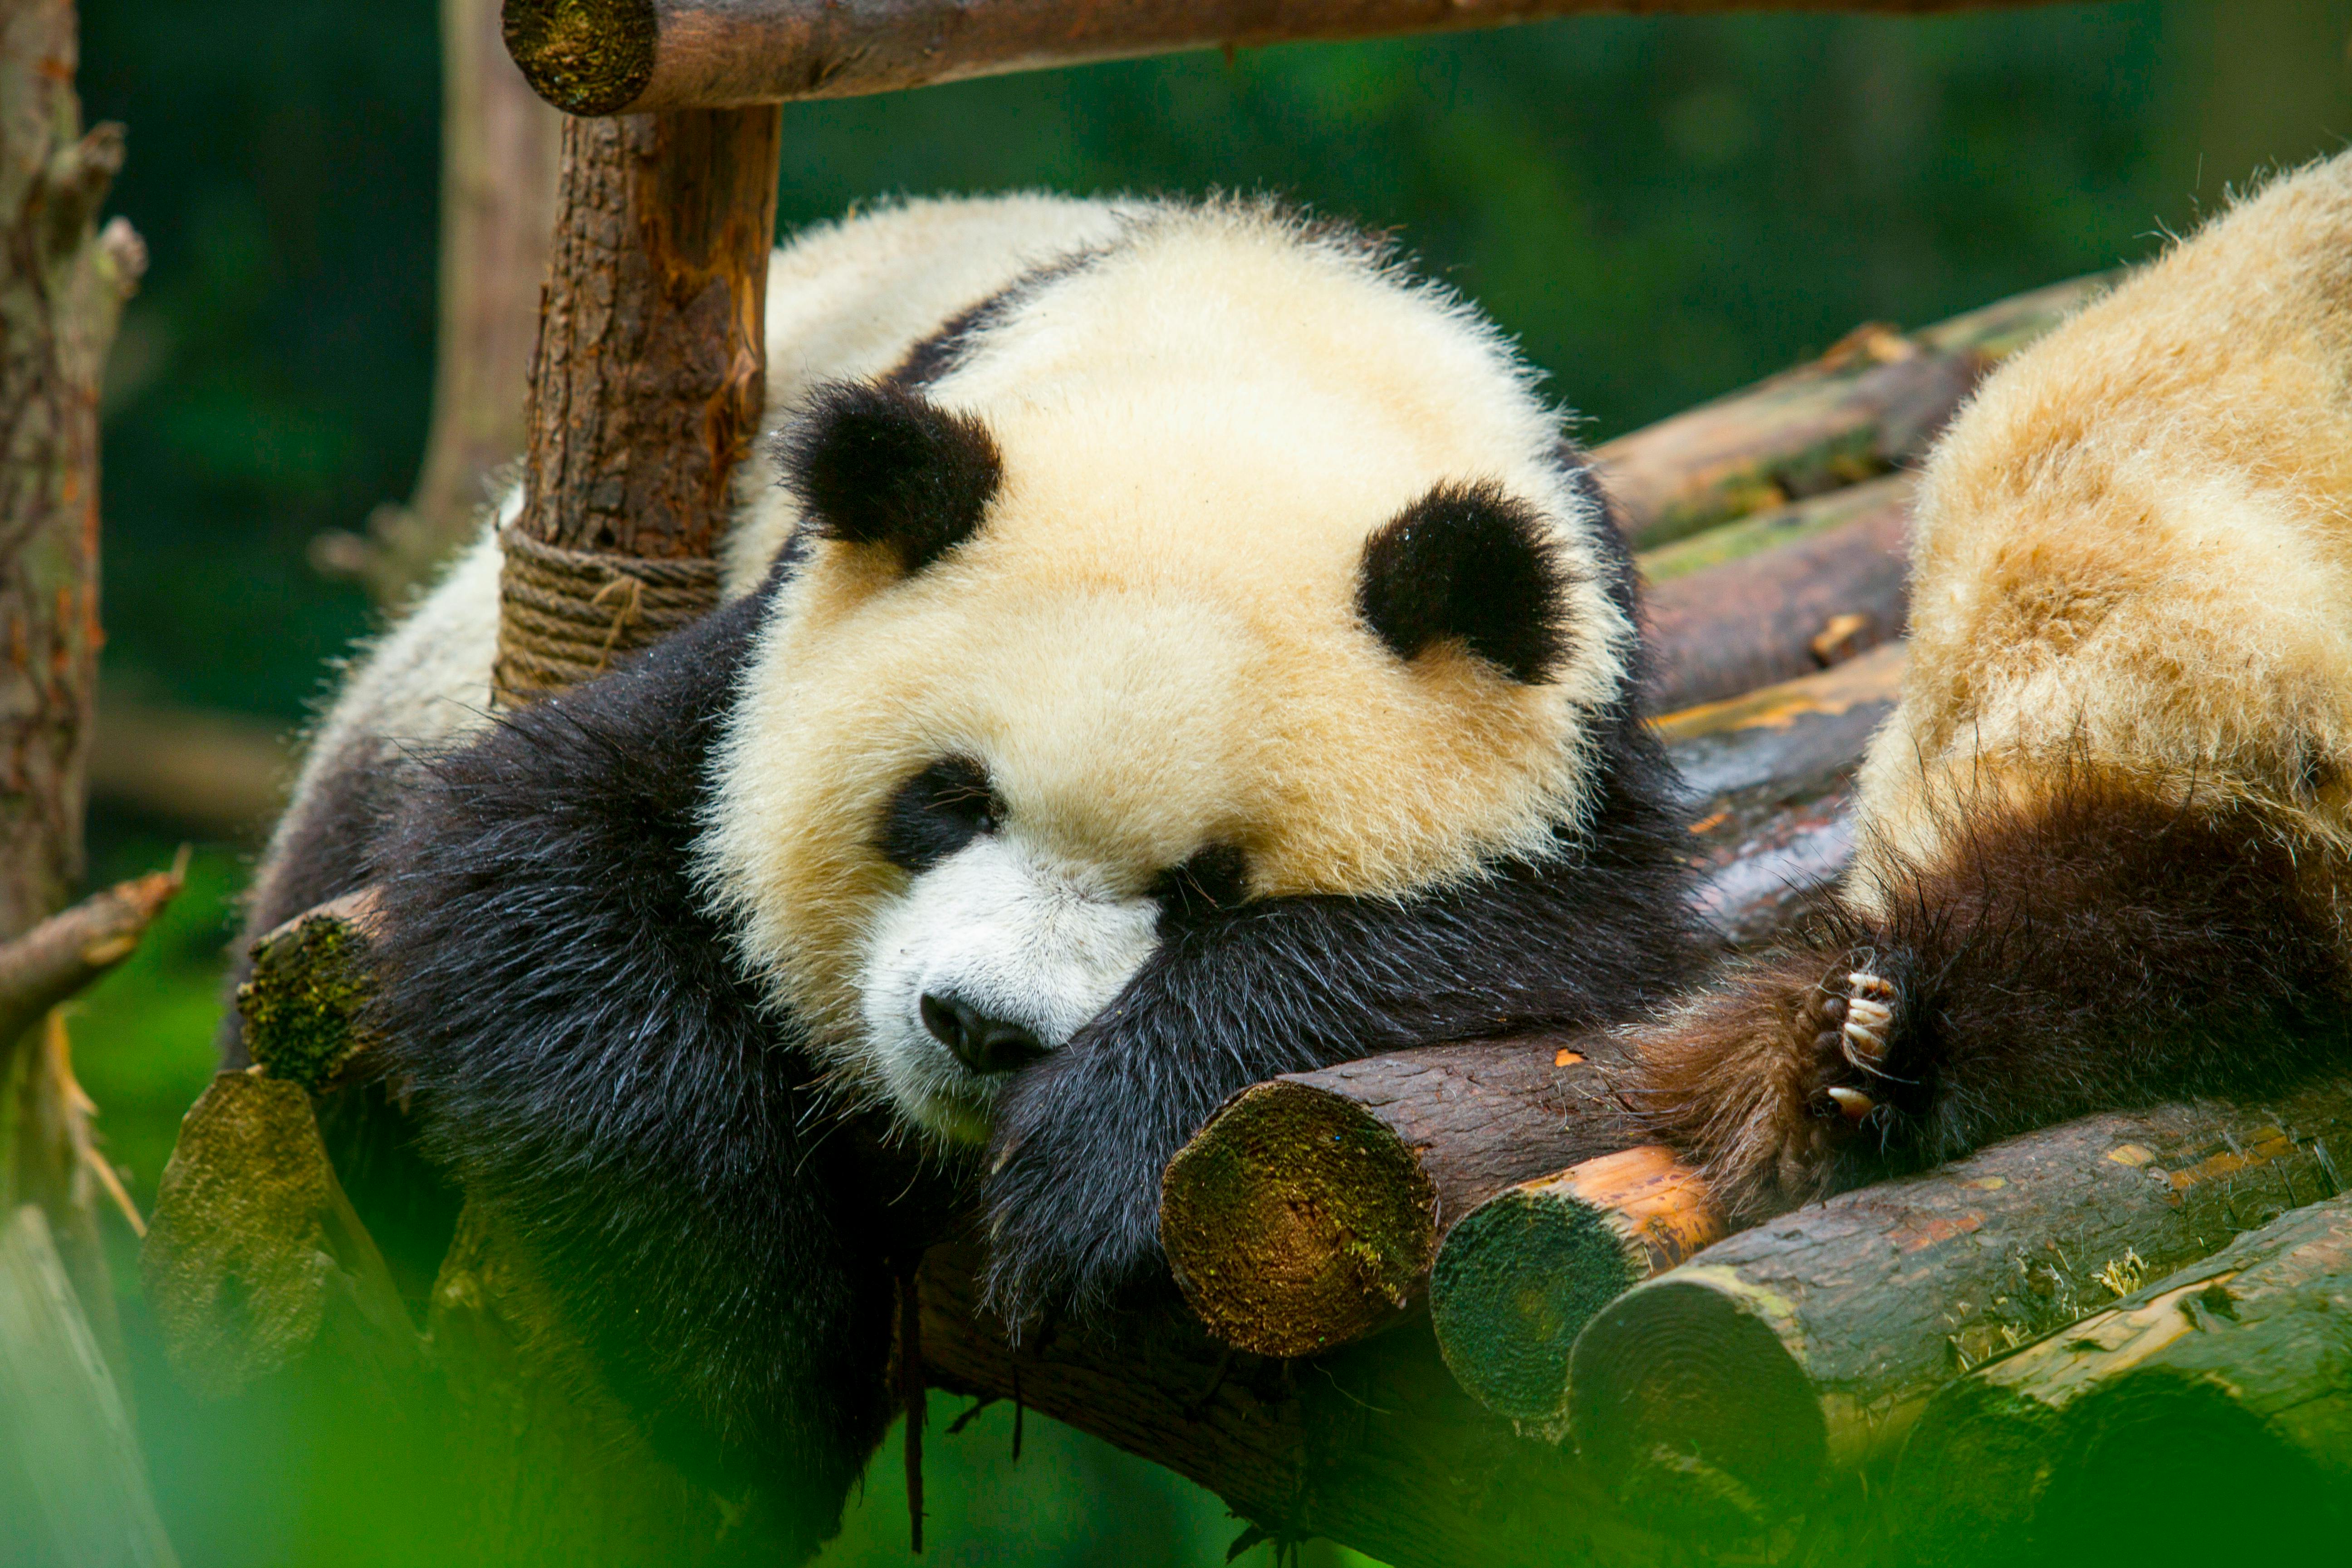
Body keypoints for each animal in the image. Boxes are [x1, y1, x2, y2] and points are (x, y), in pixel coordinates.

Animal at [229, 194, 1699, 1547]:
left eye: (1206, 888)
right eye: (950, 803)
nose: (980, 1029)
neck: (1262, 363)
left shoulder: (1573, 741)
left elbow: (1542, 936)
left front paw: (1088, 1176)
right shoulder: (766, 640)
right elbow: (539, 852)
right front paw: (759, 1373)